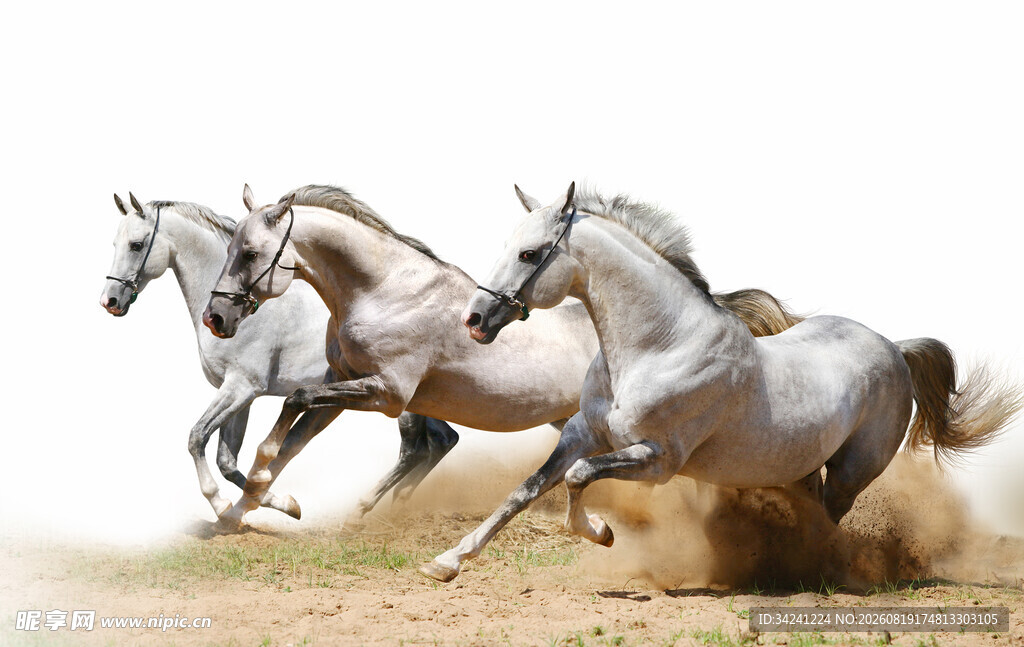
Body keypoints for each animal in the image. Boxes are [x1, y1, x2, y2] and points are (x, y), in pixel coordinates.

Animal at [99, 193, 464, 521]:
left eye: (136, 245)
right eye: (114, 244)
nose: (110, 301)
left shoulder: (241, 388)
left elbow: (197, 438)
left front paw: (224, 504)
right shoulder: (240, 395)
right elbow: (227, 461)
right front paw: (277, 504)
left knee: (416, 449)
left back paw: (368, 507)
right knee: (443, 441)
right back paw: (399, 504)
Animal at [202, 184, 802, 533]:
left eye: (250, 253)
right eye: (229, 247)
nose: (216, 318)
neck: (382, 290)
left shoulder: (386, 393)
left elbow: (292, 409)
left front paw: (261, 495)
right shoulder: (345, 383)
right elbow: (287, 438)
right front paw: (248, 508)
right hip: (575, 422)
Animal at [425, 182, 1021, 582]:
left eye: (528, 254)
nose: (474, 319)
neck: (658, 347)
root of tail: (894, 348)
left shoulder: (658, 460)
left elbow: (576, 478)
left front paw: (602, 533)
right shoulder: (581, 433)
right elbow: (525, 489)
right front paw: (447, 561)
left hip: (852, 471)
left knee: (829, 519)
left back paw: (814, 571)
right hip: (798, 467)